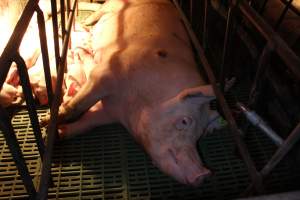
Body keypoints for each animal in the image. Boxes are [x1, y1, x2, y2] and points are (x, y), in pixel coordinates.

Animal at [49, 0, 223, 187]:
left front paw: (59, 133)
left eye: (201, 133)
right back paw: (85, 22)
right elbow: (79, 105)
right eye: (184, 121)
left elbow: (89, 122)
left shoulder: (110, 112)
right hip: (112, 6)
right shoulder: (105, 75)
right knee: (99, 8)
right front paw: (47, 122)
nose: (204, 174)